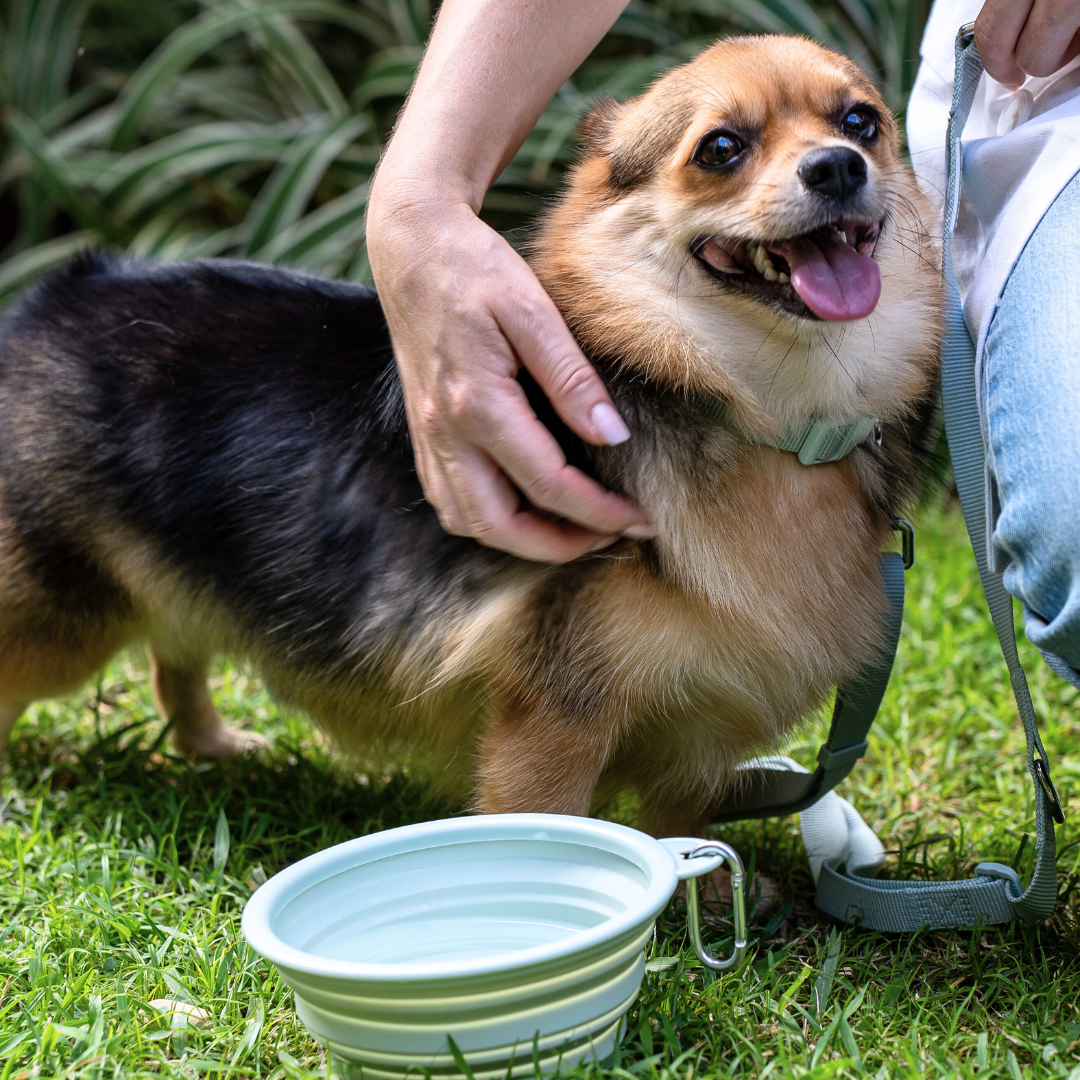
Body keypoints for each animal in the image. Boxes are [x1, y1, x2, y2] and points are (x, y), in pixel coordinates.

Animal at [0, 35, 941, 833]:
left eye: (861, 121)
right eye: (720, 148)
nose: (839, 165)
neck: (758, 416)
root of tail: (62, 293)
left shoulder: (701, 732)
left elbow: (682, 826)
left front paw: (712, 900)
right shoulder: (553, 718)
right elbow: (551, 825)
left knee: (176, 652)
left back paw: (215, 746)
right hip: (61, 619)